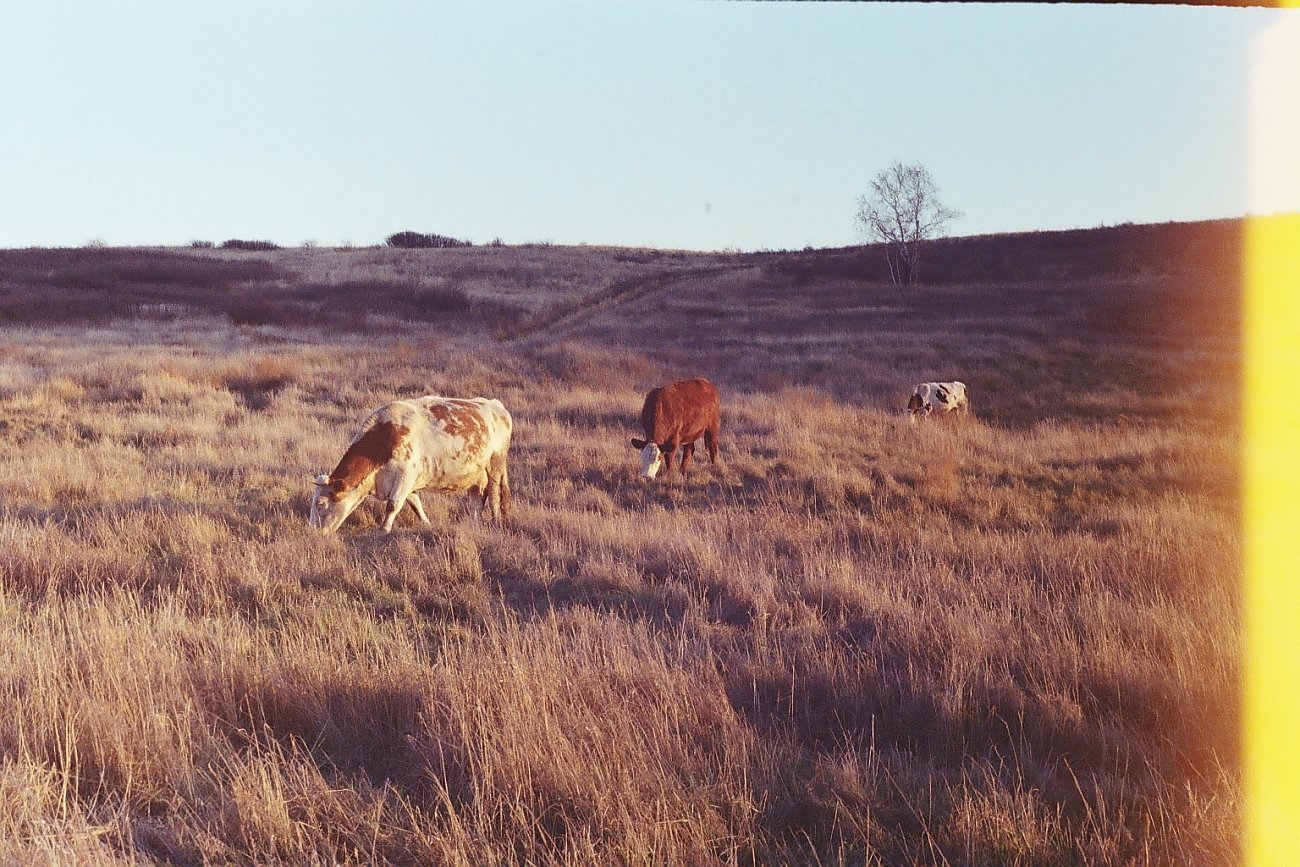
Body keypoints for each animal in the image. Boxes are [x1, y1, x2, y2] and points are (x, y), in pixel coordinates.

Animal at [310, 397, 512, 532]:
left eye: (320, 504)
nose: (312, 531)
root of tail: (496, 405)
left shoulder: (406, 475)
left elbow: (393, 504)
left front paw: (384, 529)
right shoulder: (409, 482)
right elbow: (415, 504)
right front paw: (427, 523)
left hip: (495, 464)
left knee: (494, 495)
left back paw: (495, 522)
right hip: (477, 475)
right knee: (477, 500)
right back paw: (473, 524)